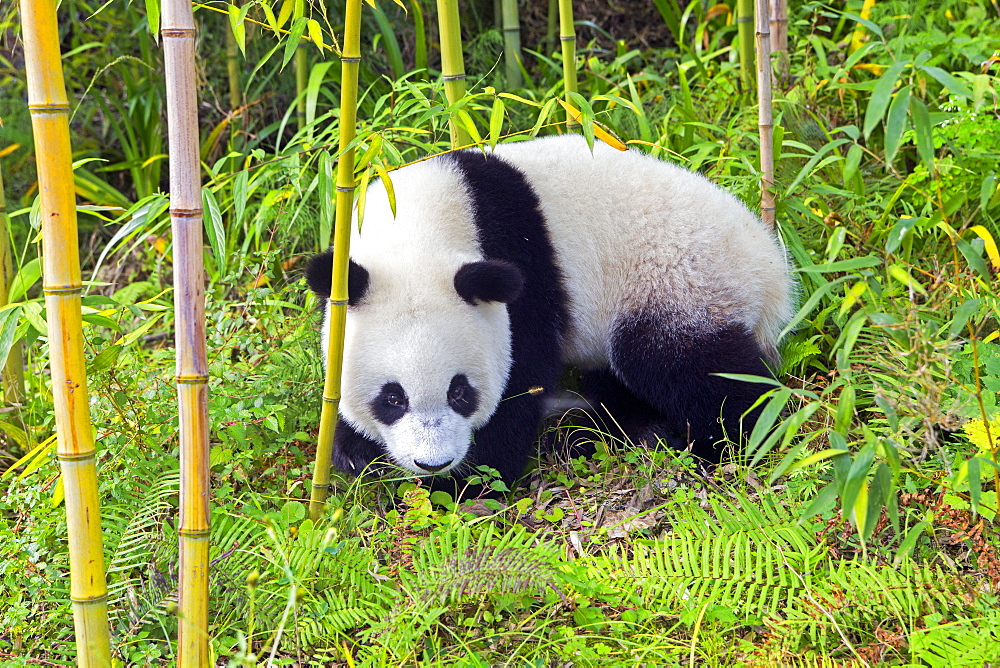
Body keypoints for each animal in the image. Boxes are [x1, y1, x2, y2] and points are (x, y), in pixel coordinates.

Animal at [308, 134, 792, 490]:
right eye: (392, 398)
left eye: (460, 392)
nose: (434, 463)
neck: (417, 231)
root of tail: (772, 272)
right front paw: (354, 452)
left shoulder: (521, 275)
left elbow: (520, 381)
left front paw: (469, 483)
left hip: (679, 280)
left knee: (686, 364)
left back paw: (725, 440)